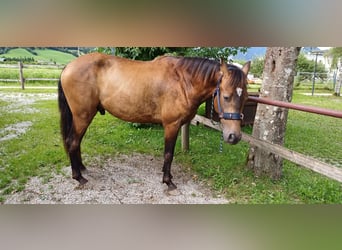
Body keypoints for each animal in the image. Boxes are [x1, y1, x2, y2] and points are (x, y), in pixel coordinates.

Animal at [58, 51, 251, 190]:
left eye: (245, 97)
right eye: (226, 97)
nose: (234, 136)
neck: (183, 80)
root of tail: (68, 66)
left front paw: (168, 176)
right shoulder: (171, 125)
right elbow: (168, 154)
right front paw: (168, 181)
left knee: (76, 142)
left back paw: (82, 168)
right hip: (82, 116)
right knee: (73, 141)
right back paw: (78, 177)